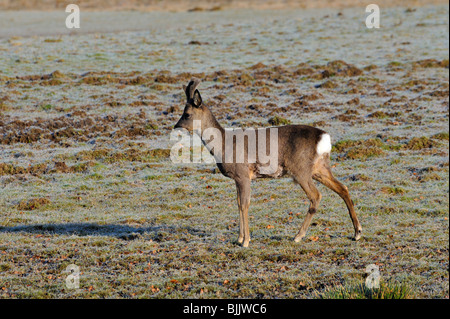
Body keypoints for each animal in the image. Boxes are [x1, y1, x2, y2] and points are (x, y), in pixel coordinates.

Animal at [173, 79, 362, 249]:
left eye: (187, 114)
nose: (176, 126)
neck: (223, 144)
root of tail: (324, 139)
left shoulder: (243, 174)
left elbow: (245, 204)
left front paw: (246, 241)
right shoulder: (238, 178)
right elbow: (238, 203)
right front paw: (239, 239)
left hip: (300, 170)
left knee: (316, 196)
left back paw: (298, 236)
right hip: (319, 168)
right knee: (343, 188)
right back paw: (357, 233)